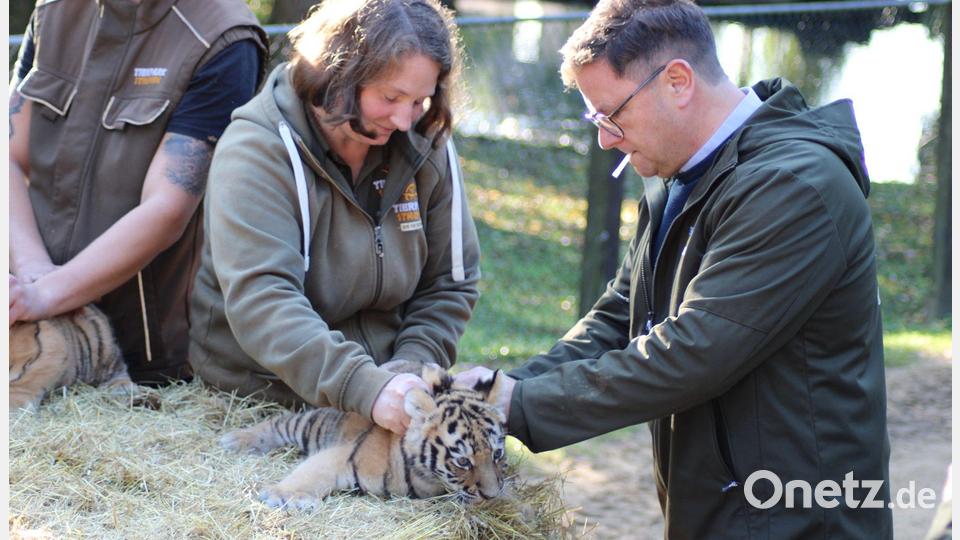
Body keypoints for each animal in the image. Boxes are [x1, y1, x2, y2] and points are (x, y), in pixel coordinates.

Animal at [220, 363, 511, 510]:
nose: (491, 496)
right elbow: (312, 472)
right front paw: (285, 496)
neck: (427, 479)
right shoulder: (343, 454)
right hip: (313, 423)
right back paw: (236, 440)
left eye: (497, 454)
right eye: (462, 461)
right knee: (280, 423)